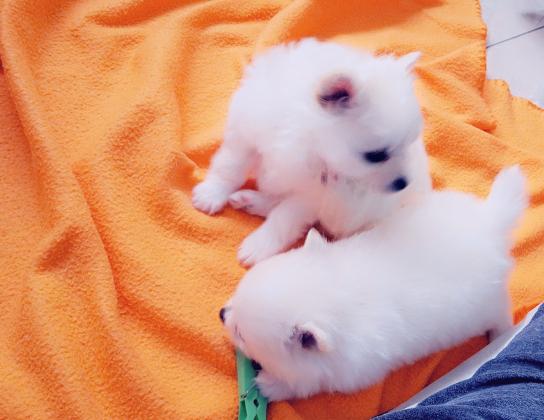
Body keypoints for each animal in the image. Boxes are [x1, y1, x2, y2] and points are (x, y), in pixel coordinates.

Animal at [192, 38, 431, 266]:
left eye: (409, 145)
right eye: (376, 156)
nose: (403, 183)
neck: (307, 141)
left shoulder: (311, 195)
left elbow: (284, 218)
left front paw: (259, 245)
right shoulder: (246, 136)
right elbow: (229, 167)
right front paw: (212, 193)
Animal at [220, 166, 527, 401]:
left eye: (240, 333)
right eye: (234, 297)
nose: (221, 313)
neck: (340, 296)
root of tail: (491, 223)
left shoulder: (349, 371)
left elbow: (309, 382)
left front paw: (270, 385)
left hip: (488, 303)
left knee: (500, 311)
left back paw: (501, 334)